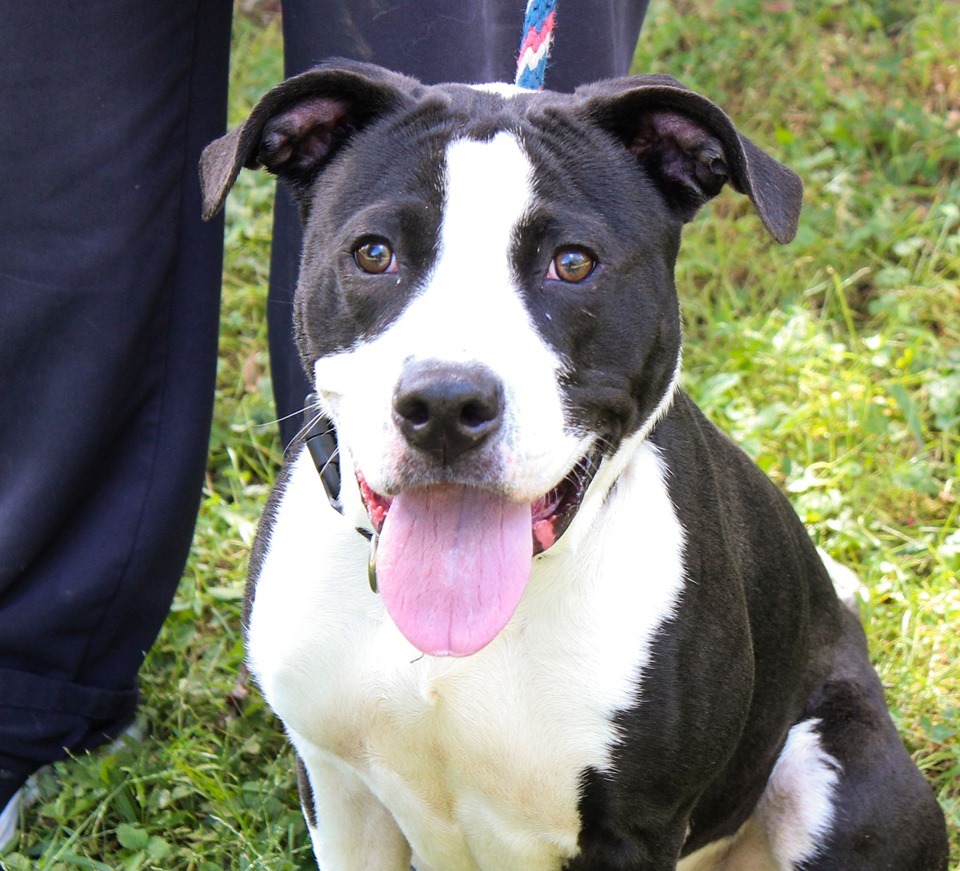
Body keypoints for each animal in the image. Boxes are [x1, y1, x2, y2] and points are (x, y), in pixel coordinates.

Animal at [199, 63, 948, 871]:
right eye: (374, 252)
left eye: (573, 263)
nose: (445, 403)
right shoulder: (337, 789)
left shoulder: (635, 828)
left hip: (833, 773)